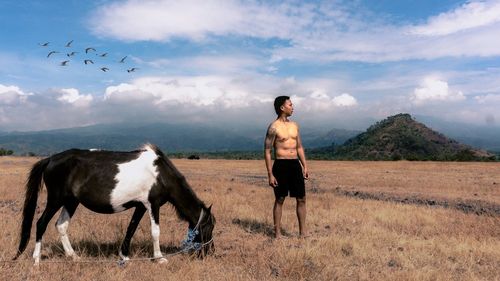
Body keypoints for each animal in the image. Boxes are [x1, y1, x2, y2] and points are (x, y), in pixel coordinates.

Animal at [15, 143, 215, 264]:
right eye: (209, 226)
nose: (210, 252)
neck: (161, 174)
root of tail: (50, 159)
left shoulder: (140, 205)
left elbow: (131, 228)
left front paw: (124, 256)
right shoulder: (153, 204)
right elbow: (155, 231)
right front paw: (159, 258)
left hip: (71, 201)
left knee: (61, 225)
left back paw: (74, 256)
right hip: (56, 200)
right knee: (41, 223)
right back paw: (36, 260)